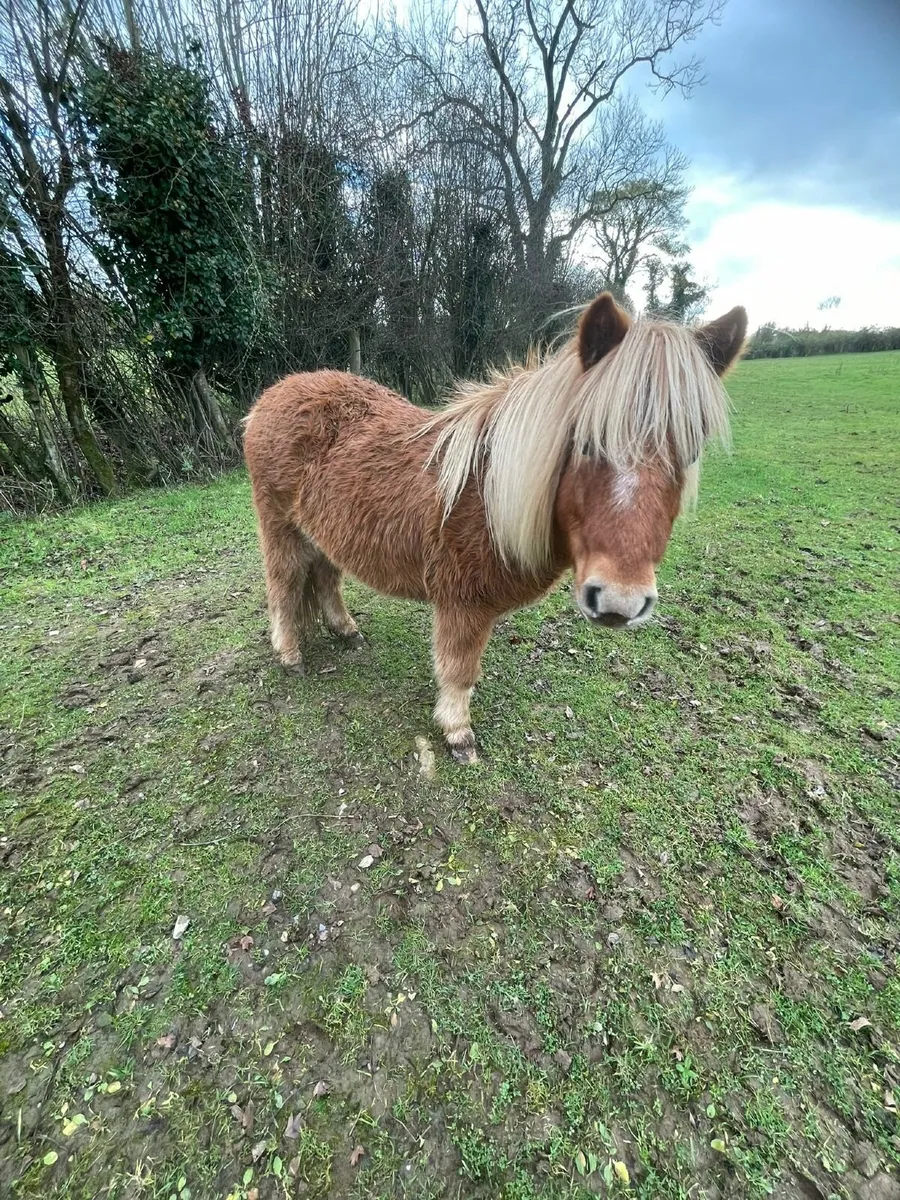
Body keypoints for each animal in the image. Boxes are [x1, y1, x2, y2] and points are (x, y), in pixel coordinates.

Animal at [243, 292, 747, 763]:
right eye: (585, 442)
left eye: (692, 451)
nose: (619, 603)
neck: (488, 494)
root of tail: (270, 397)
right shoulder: (462, 605)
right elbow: (459, 670)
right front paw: (457, 733)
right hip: (279, 527)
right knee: (284, 585)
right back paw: (289, 655)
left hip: (323, 533)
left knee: (326, 578)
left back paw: (346, 632)